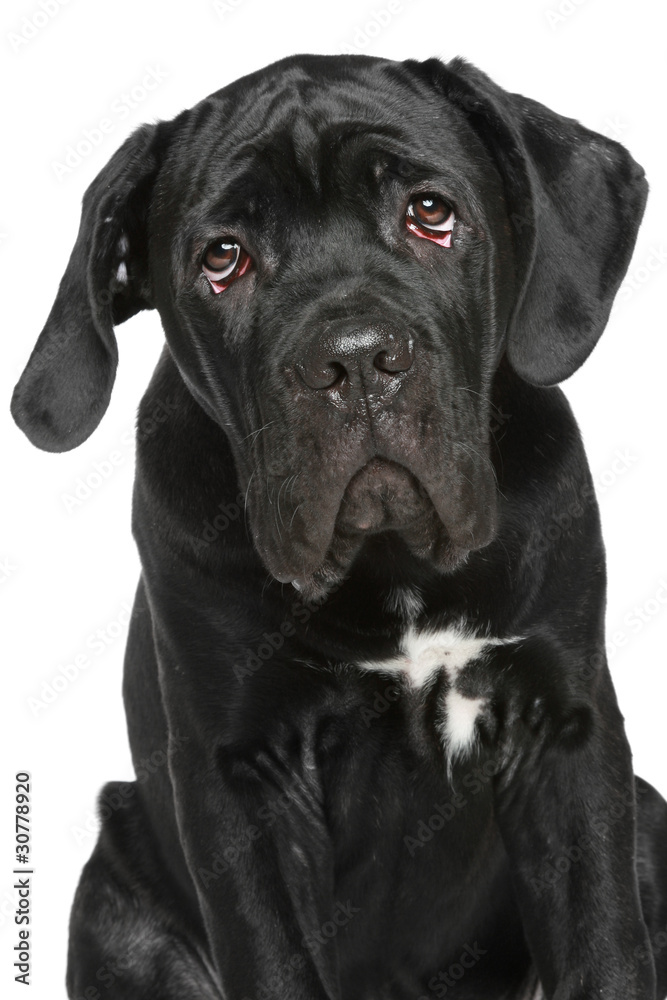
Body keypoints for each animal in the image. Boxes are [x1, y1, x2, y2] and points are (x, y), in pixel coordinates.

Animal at [10, 54, 667, 1000]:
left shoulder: (564, 730)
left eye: (430, 212)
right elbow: (275, 961)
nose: (356, 359)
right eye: (223, 258)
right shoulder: (245, 778)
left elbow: (605, 950)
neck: (391, 565)